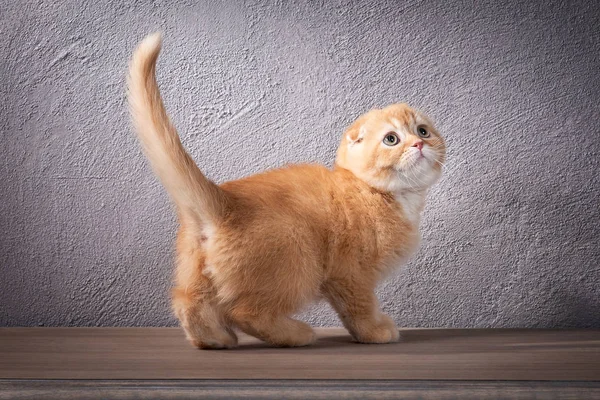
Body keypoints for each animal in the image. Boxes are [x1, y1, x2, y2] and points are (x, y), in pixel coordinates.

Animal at [126, 32, 446, 348]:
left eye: (423, 131)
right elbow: (360, 306)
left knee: (187, 301)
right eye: (391, 139)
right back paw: (295, 334)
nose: (419, 144)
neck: (378, 193)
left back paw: (215, 339)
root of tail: (226, 201)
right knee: (245, 311)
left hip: (198, 269)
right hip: (296, 257)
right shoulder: (350, 274)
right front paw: (374, 331)